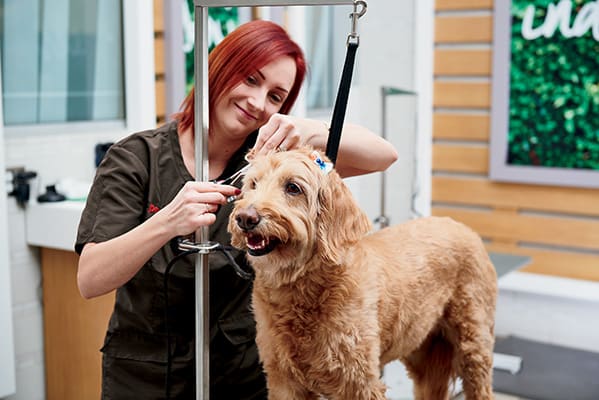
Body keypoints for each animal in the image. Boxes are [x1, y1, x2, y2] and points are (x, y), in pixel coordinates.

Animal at [227, 147, 500, 400]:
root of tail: (462, 227)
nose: (245, 218)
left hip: (473, 346)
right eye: (253, 184)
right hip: (423, 350)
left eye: (293, 188)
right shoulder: (284, 381)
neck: (302, 288)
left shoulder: (357, 382)